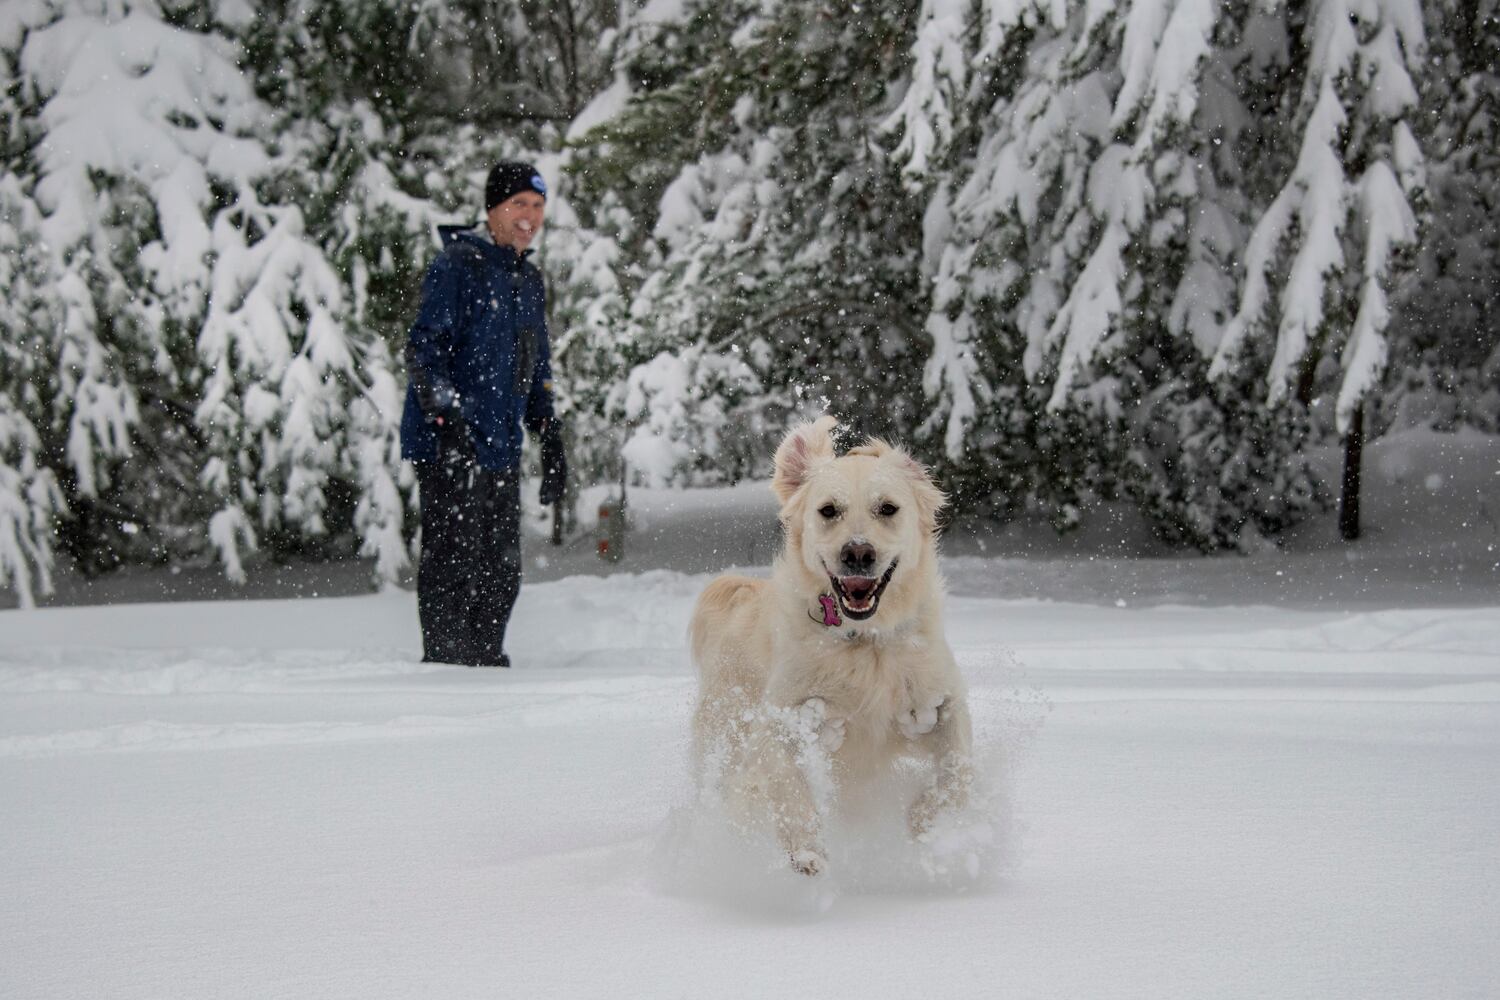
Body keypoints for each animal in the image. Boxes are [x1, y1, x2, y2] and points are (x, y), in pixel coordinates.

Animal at [687, 413, 972, 875]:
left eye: (887, 508)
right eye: (828, 510)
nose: (857, 554)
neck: (865, 642)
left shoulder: (943, 697)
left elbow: (958, 766)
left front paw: (926, 820)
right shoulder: (777, 718)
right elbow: (786, 780)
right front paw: (806, 850)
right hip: (721, 734)